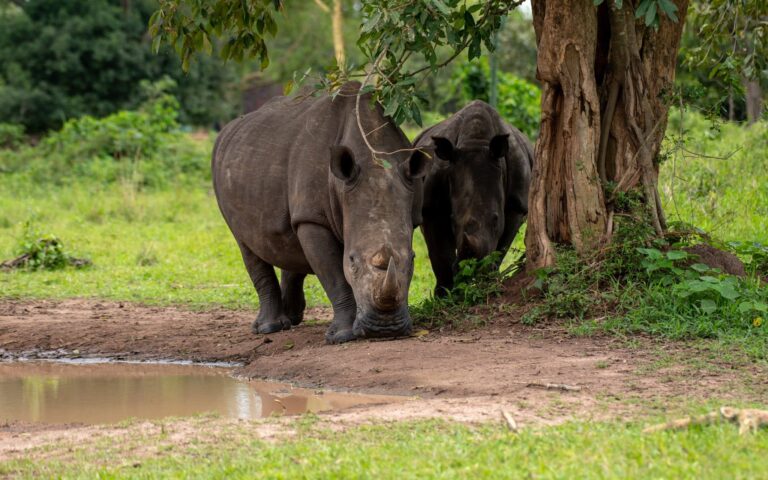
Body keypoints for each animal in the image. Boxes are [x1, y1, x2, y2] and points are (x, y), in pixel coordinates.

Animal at [212, 82, 431, 343]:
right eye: (352, 261)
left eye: (413, 259)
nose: (385, 329)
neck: (375, 161)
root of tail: (228, 129)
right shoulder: (313, 218)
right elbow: (334, 275)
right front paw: (342, 336)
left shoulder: (413, 212)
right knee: (246, 244)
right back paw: (269, 328)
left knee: (287, 240)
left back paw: (292, 317)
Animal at [414, 100, 533, 296]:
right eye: (453, 221)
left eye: (495, 220)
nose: (473, 267)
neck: (476, 142)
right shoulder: (432, 207)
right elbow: (440, 254)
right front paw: (445, 295)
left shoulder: (516, 204)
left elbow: (502, 246)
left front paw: (490, 282)